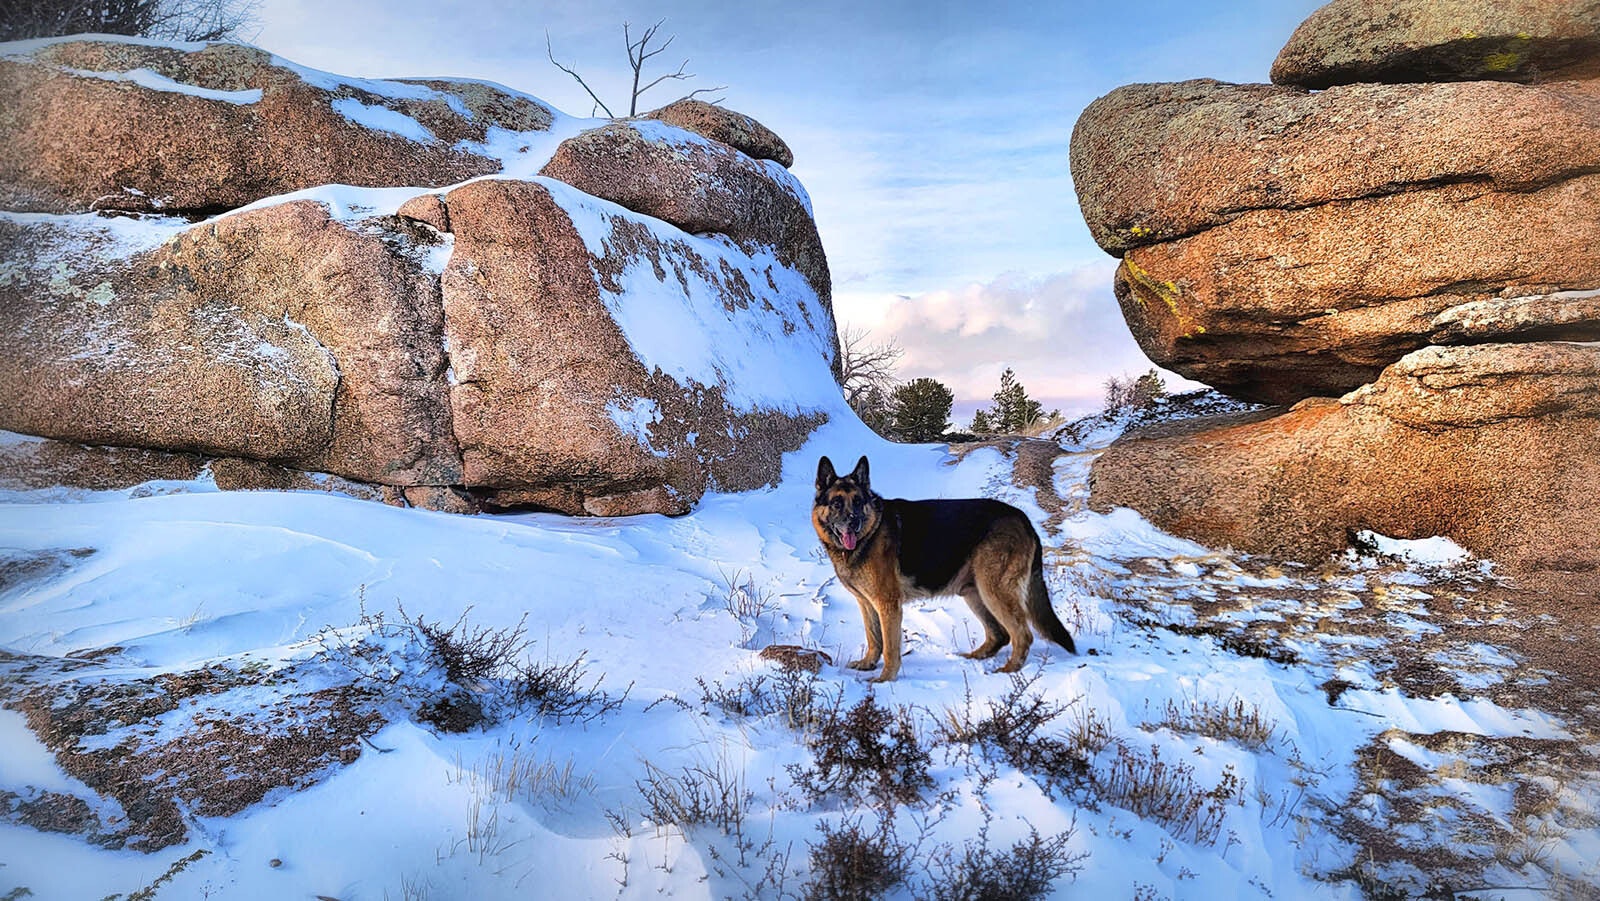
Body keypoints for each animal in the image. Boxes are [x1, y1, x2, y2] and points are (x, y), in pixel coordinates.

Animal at [812, 457, 1075, 684]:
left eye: (858, 502)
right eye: (836, 503)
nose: (853, 522)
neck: (870, 533)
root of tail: (1023, 518)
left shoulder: (888, 605)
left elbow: (889, 647)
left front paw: (885, 679)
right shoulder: (867, 603)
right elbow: (874, 638)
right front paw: (868, 664)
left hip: (993, 590)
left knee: (1022, 635)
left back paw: (1009, 671)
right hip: (974, 593)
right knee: (1000, 634)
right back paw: (974, 658)